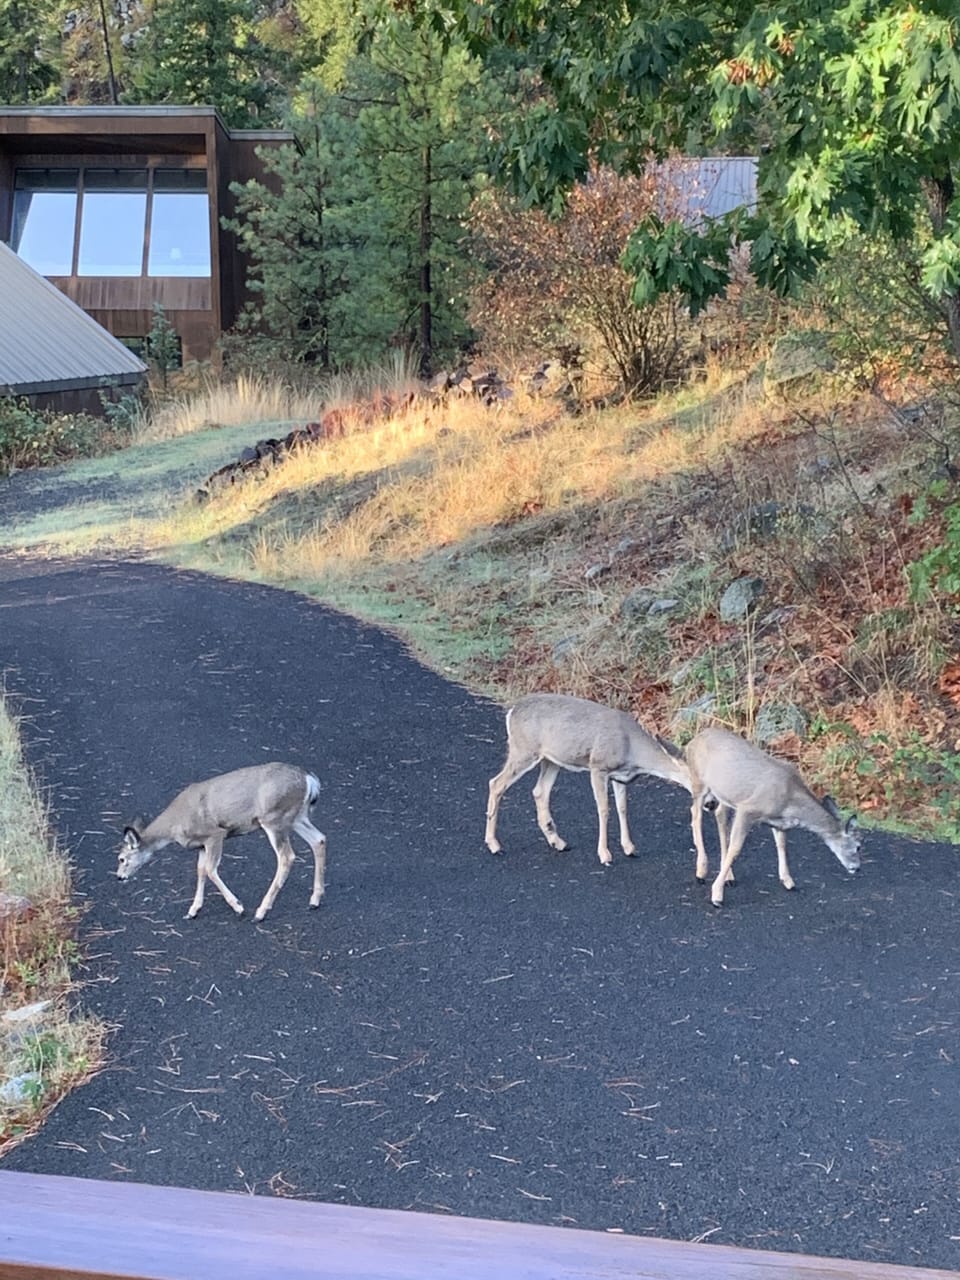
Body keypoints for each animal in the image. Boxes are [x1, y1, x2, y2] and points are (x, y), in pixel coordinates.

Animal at [116, 763, 326, 922]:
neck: (174, 824)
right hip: (297, 817)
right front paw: (193, 911)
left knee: (287, 856)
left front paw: (238, 907)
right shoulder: (201, 845)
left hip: (273, 819)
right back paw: (314, 901)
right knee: (319, 839)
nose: (119, 877)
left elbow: (210, 869)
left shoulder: (215, 834)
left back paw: (260, 912)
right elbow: (200, 870)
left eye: (122, 859)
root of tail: (309, 780)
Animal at [485, 693, 691, 864]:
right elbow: (604, 809)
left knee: (539, 791)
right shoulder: (598, 766)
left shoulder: (620, 776)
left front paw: (630, 848)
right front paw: (605, 855)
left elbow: (622, 808)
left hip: (550, 759)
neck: (632, 749)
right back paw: (494, 845)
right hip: (524, 750)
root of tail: (511, 711)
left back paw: (558, 842)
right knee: (496, 783)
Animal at [685, 727, 861, 906]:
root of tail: (695, 739)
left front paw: (788, 881)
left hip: (724, 794)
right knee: (695, 815)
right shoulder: (748, 809)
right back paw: (701, 872)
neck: (790, 799)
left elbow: (782, 845)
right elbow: (735, 849)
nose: (857, 867)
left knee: (719, 815)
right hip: (698, 780)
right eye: (858, 846)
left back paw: (729, 877)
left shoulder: (778, 822)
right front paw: (717, 895)